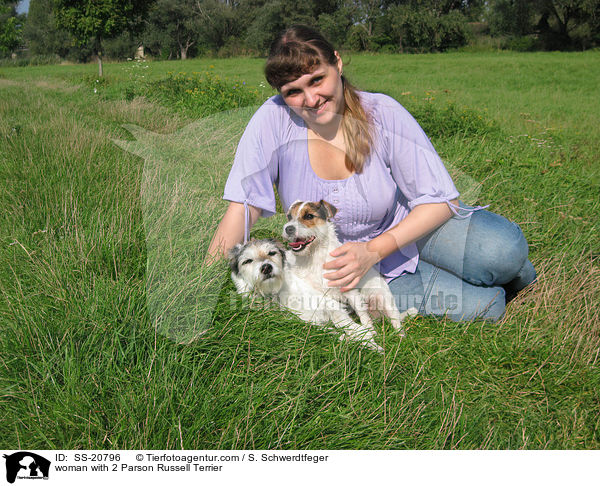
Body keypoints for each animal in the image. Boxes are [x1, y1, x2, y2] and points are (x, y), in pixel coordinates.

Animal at [227, 238, 386, 350]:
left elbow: (348, 325)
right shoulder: (307, 322)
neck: (276, 292)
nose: (266, 267)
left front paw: (370, 343)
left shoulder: (329, 304)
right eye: (247, 261)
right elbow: (332, 331)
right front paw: (351, 340)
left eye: (271, 253)